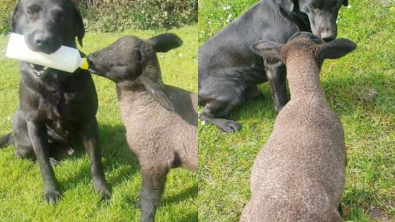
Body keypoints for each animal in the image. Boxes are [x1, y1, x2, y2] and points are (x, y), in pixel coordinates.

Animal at [0, 0, 110, 204]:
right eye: (30, 12)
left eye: (61, 16)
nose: (43, 41)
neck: (54, 80)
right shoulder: (35, 124)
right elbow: (43, 164)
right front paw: (52, 191)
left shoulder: (88, 120)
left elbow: (96, 161)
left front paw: (102, 189)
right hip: (25, 139)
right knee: (26, 155)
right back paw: (50, 159)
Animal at [86, 33, 198, 222]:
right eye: (114, 42)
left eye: (121, 65)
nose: (90, 58)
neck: (147, 105)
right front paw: (136, 204)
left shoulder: (154, 159)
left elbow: (149, 198)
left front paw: (143, 214)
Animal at [200, 0, 348, 132]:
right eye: (312, 6)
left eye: (336, 4)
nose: (328, 37)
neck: (289, 14)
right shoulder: (274, 64)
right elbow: (280, 97)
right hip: (232, 93)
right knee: (204, 115)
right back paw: (228, 124)